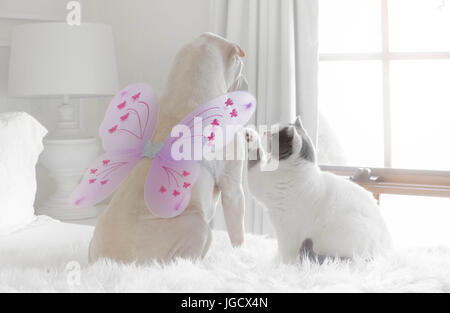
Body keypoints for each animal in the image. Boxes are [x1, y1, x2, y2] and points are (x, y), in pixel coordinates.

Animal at [89, 33, 248, 264]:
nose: (245, 83)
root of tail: (112, 262)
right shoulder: (233, 189)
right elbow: (238, 235)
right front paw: (241, 255)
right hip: (197, 225)